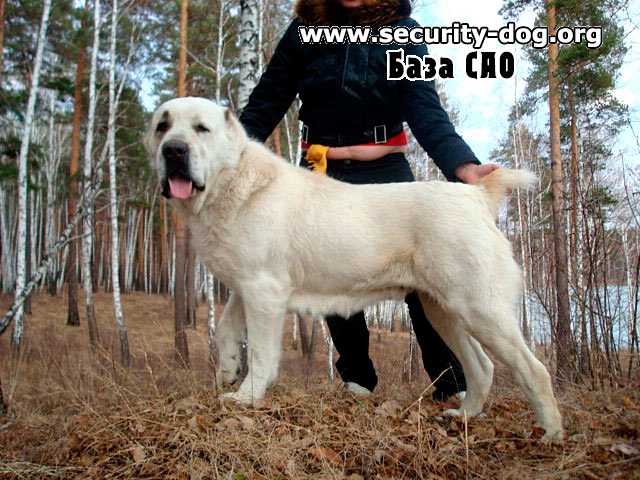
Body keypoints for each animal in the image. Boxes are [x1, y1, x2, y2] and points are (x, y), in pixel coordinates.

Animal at [144, 96, 560, 442]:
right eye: (162, 126)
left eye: (202, 129)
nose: (174, 150)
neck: (231, 184)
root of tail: (476, 194)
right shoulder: (244, 287)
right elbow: (227, 331)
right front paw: (227, 374)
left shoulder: (264, 292)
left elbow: (261, 354)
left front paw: (247, 397)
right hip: (444, 311)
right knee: (482, 367)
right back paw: (465, 416)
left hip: (479, 309)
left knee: (533, 370)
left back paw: (550, 435)